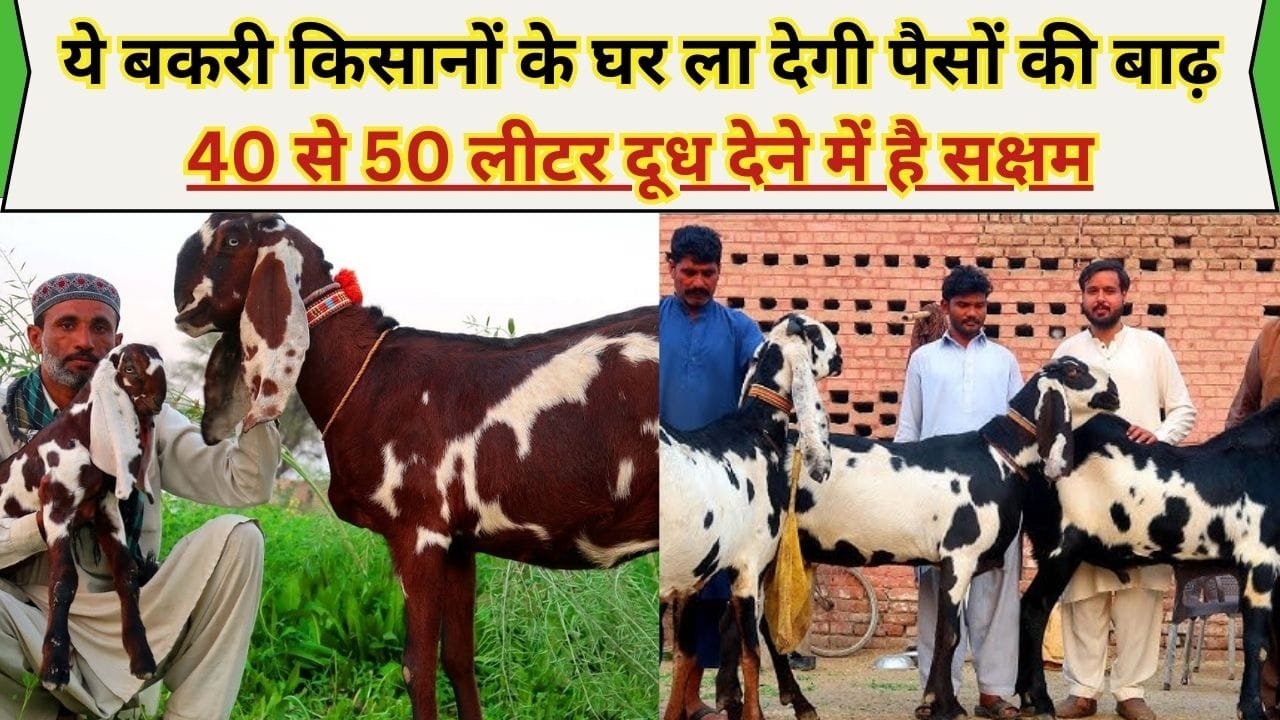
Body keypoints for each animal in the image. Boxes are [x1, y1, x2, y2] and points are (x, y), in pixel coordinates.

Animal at [0, 343, 165, 689]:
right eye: (129, 368)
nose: (158, 400)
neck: (79, 434)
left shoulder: (104, 509)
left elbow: (127, 574)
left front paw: (142, 657)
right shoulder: (57, 506)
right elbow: (64, 580)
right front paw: (55, 667)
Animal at [172, 213, 657, 720]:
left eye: (232, 238)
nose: (181, 304)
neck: (366, 376)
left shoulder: (418, 532)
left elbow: (416, 668)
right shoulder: (460, 541)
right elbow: (459, 660)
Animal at [758, 356, 1121, 720]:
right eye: (1073, 370)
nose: (1115, 389)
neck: (998, 457)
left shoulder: (948, 563)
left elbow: (938, 633)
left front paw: (933, 702)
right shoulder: (960, 556)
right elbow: (950, 635)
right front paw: (948, 707)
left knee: (765, 627)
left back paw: (799, 702)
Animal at [1015, 400, 1280, 720]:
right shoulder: (1261, 559)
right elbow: (1257, 642)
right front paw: (1252, 709)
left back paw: (1027, 699)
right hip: (1060, 551)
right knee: (1034, 611)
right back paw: (1040, 700)